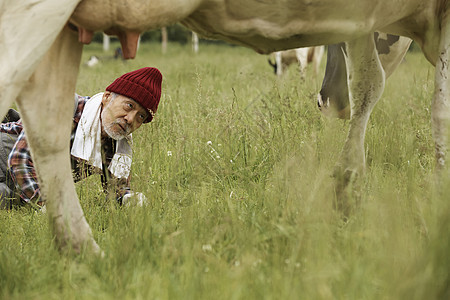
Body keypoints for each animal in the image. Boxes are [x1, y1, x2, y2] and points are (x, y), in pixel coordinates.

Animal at [0, 0, 450, 253]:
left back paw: (83, 251)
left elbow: (369, 82)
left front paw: (346, 186)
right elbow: (436, 110)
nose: (327, 101)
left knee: (46, 124)